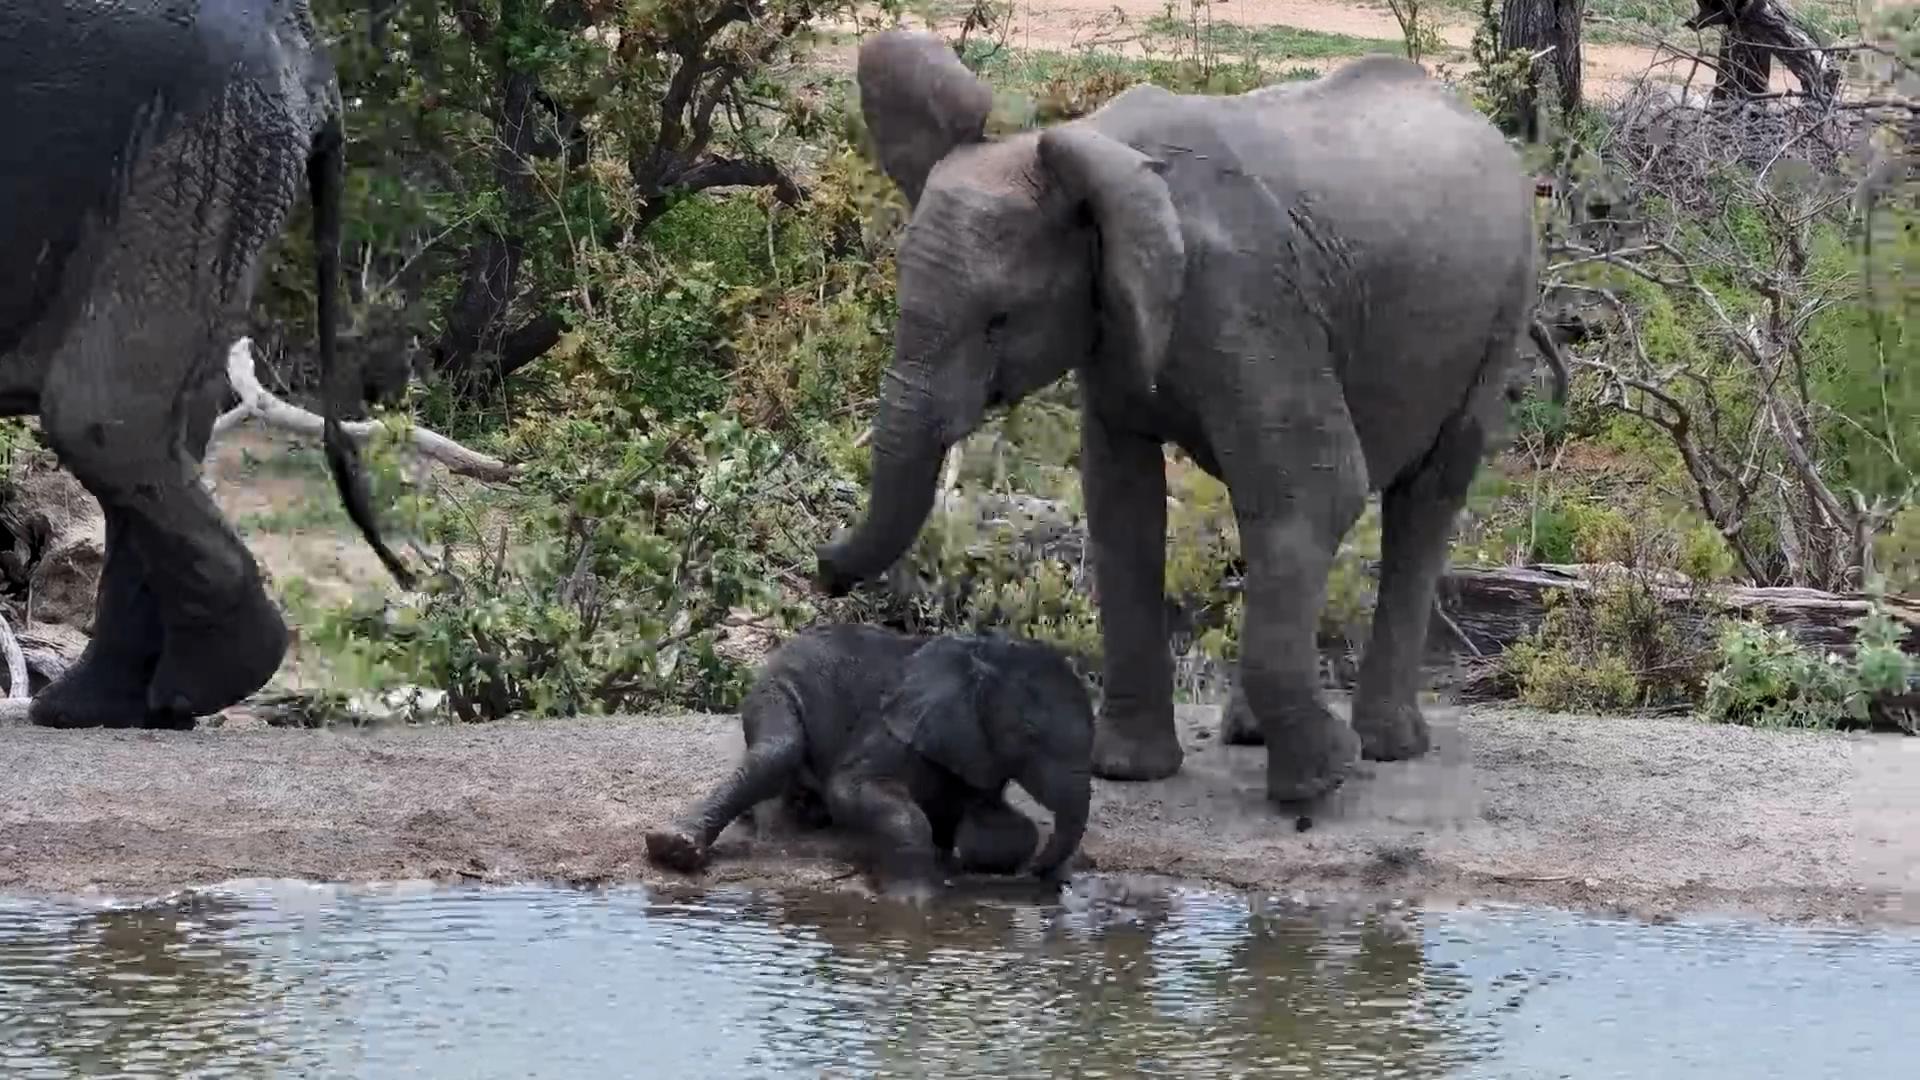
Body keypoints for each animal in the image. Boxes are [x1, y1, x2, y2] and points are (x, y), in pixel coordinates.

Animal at [0, 0, 407, 728]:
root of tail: (309, 48)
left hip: (199, 150)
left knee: (101, 418)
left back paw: (186, 690)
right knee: (165, 427)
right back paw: (111, 705)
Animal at [644, 625, 1094, 895]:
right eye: (1030, 735)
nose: (1046, 879)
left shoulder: (978, 755)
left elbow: (1009, 826)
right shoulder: (893, 730)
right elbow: (851, 789)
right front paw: (915, 899)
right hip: (777, 687)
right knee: (778, 751)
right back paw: (675, 848)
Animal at [814, 32, 1560, 805]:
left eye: (1000, 321)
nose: (824, 572)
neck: (1097, 150)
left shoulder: (1245, 295)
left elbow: (1316, 491)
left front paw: (1321, 780)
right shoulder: (1115, 325)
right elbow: (1123, 509)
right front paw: (1127, 771)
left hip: (1504, 307)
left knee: (1424, 495)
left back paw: (1386, 746)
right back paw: (1254, 733)